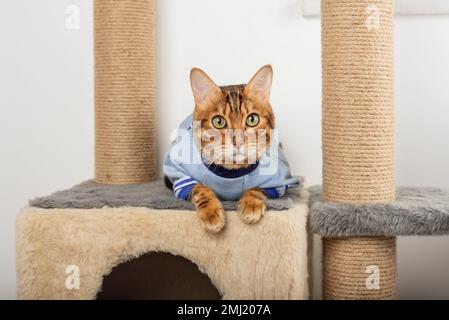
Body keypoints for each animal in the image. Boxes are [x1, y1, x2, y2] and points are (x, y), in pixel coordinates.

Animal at [163, 65, 300, 232]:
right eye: (218, 121)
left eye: (252, 119)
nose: (238, 142)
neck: (232, 173)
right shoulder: (181, 177)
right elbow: (200, 188)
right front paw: (210, 212)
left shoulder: (278, 181)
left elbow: (257, 188)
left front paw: (250, 204)